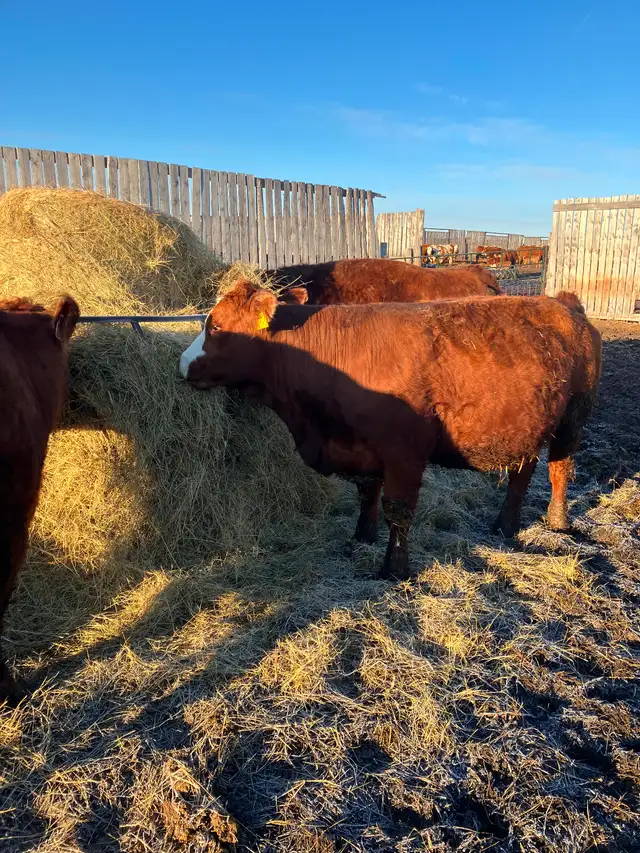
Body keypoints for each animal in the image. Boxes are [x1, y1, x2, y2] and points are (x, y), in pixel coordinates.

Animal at [180, 280, 601, 581]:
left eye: (216, 326)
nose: (182, 363)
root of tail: (563, 303)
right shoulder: (361, 447)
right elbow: (367, 494)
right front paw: (361, 537)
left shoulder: (404, 452)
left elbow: (397, 510)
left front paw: (394, 569)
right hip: (525, 425)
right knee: (523, 471)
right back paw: (505, 525)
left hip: (573, 419)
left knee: (560, 469)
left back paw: (558, 521)